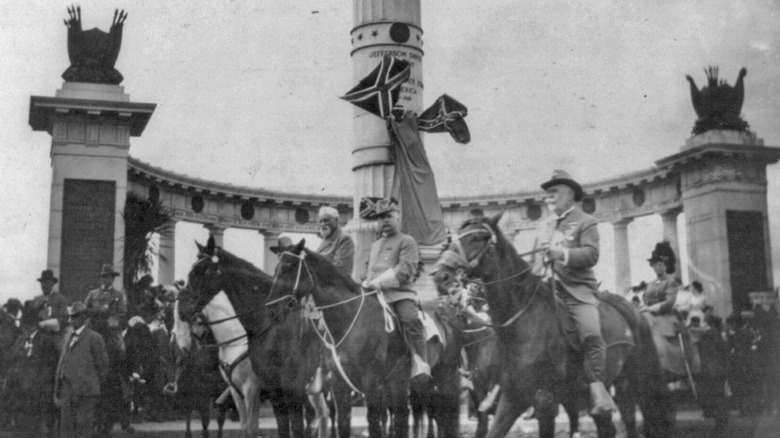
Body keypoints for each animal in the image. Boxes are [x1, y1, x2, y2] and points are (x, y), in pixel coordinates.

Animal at [183, 238, 326, 438]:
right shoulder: (262, 391)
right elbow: (263, 428)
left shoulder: (264, 389)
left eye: (200, 270)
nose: (184, 308)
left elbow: (284, 428)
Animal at [266, 238, 414, 438]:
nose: (271, 309)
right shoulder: (339, 383)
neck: (349, 320)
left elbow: (374, 425)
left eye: (288, 267)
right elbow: (343, 424)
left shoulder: (371, 383)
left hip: (400, 381)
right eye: (276, 269)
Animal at [430, 215, 672, 438]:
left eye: (477, 237)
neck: (523, 324)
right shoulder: (512, 398)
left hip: (633, 383)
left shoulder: (545, 401)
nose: (440, 276)